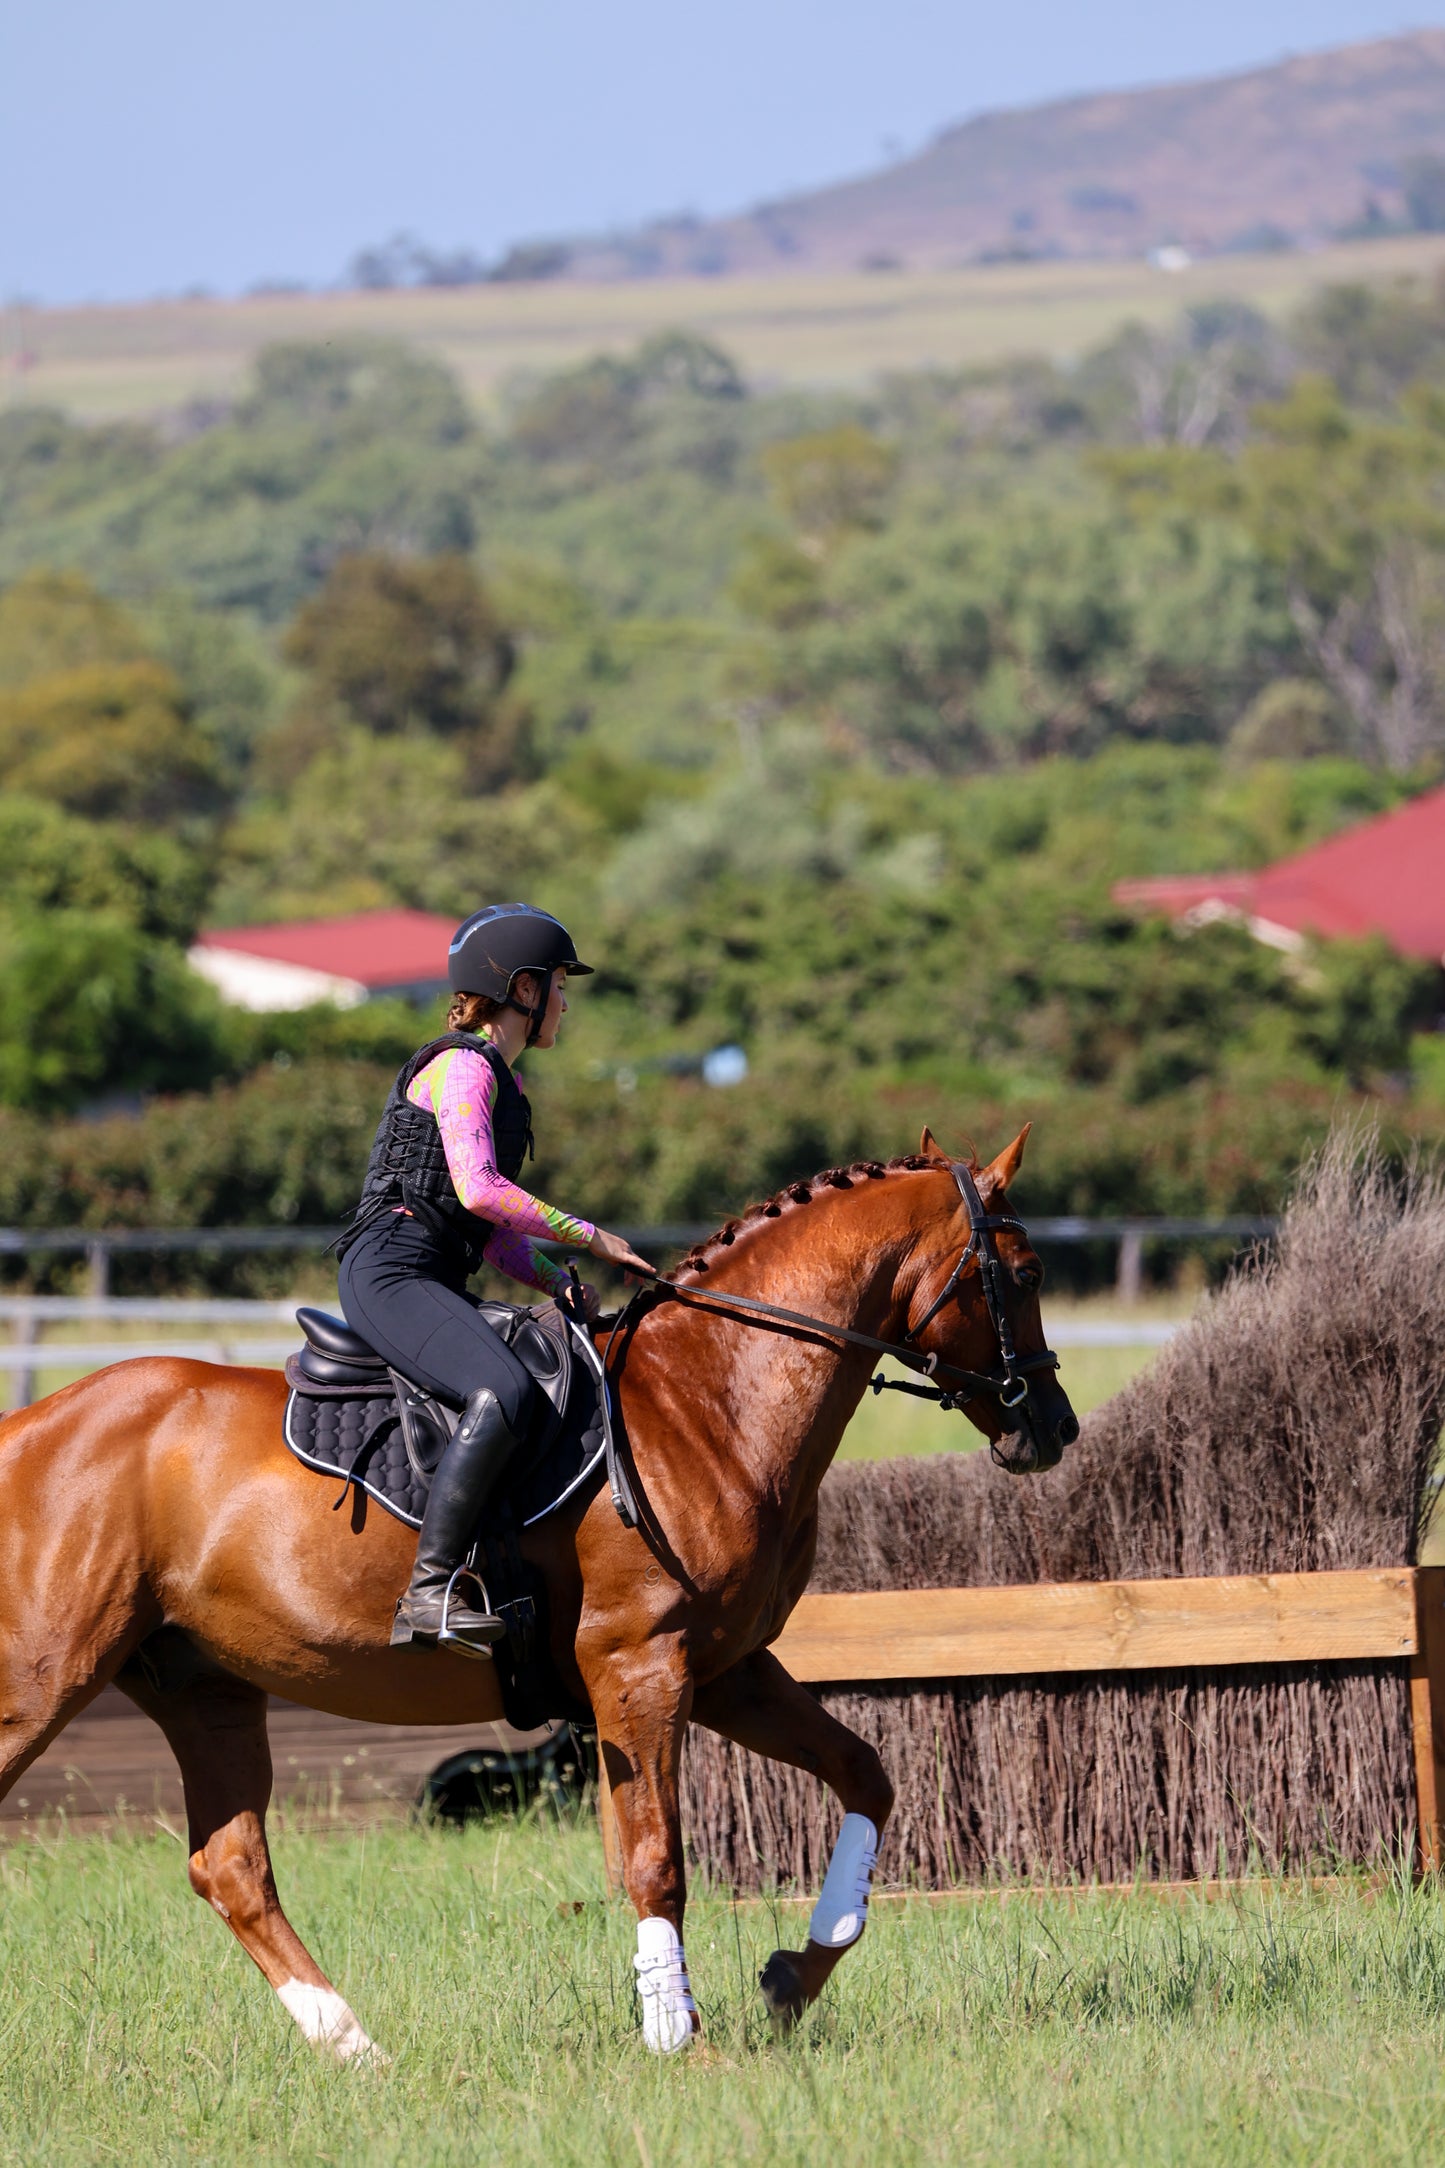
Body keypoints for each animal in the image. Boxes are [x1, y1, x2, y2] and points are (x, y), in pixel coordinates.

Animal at [0, 1127, 1074, 2055]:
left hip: (202, 1687)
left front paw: (789, 1980)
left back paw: (356, 2051)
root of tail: (31, 1425)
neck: (710, 1396)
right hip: (45, 1680)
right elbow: (655, 1861)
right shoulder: (639, 1668)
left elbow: (864, 1775)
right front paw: (676, 2035)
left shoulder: (725, 1670)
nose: (1052, 1427)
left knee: (230, 1869)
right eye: (1023, 1275)